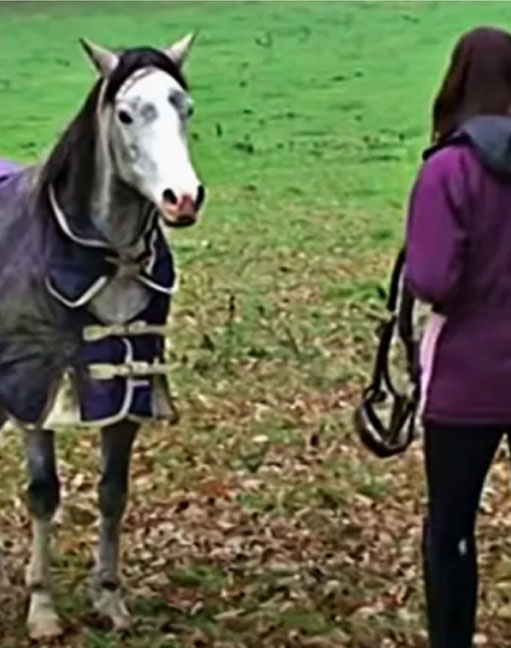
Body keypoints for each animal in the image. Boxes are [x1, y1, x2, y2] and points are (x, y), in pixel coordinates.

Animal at [0, 34, 204, 636]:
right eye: (126, 113)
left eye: (185, 107)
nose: (183, 198)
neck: (109, 262)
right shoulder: (36, 395)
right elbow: (43, 495)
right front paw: (42, 607)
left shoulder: (128, 393)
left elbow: (114, 493)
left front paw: (109, 598)